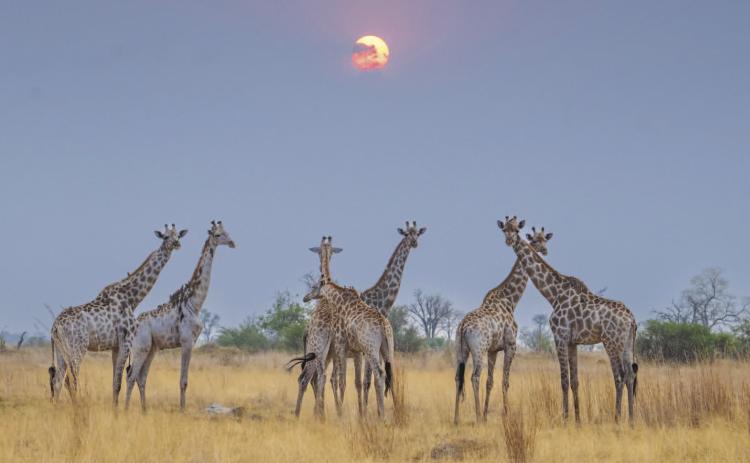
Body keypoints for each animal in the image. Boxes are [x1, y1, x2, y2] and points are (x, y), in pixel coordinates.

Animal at [49, 224, 187, 405]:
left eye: (178, 235)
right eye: (165, 237)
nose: (177, 244)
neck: (132, 298)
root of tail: (55, 327)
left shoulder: (115, 346)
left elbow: (114, 382)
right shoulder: (126, 342)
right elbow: (119, 384)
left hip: (60, 350)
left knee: (58, 380)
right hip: (77, 348)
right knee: (72, 379)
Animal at [125, 221, 236, 412]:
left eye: (227, 231)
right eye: (217, 235)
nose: (232, 243)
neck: (194, 303)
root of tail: (132, 326)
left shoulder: (191, 341)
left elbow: (183, 380)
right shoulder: (186, 341)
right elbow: (183, 381)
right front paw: (182, 410)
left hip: (152, 348)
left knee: (142, 376)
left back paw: (145, 410)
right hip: (141, 347)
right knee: (131, 375)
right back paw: (124, 410)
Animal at [453, 218, 553, 424]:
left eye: (544, 239)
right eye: (535, 240)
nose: (545, 250)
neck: (511, 299)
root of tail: (464, 326)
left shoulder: (493, 350)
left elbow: (490, 382)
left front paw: (486, 414)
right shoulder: (510, 345)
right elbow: (505, 381)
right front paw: (505, 414)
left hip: (460, 349)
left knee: (458, 378)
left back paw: (457, 418)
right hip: (478, 349)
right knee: (474, 376)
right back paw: (476, 417)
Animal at [498, 216, 638, 423]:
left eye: (517, 230)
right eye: (504, 229)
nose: (509, 241)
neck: (554, 294)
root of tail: (632, 319)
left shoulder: (560, 337)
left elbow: (563, 380)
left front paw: (565, 418)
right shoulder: (573, 342)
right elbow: (575, 381)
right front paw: (578, 419)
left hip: (612, 342)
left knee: (619, 376)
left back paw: (616, 417)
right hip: (627, 343)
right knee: (629, 375)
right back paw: (631, 418)